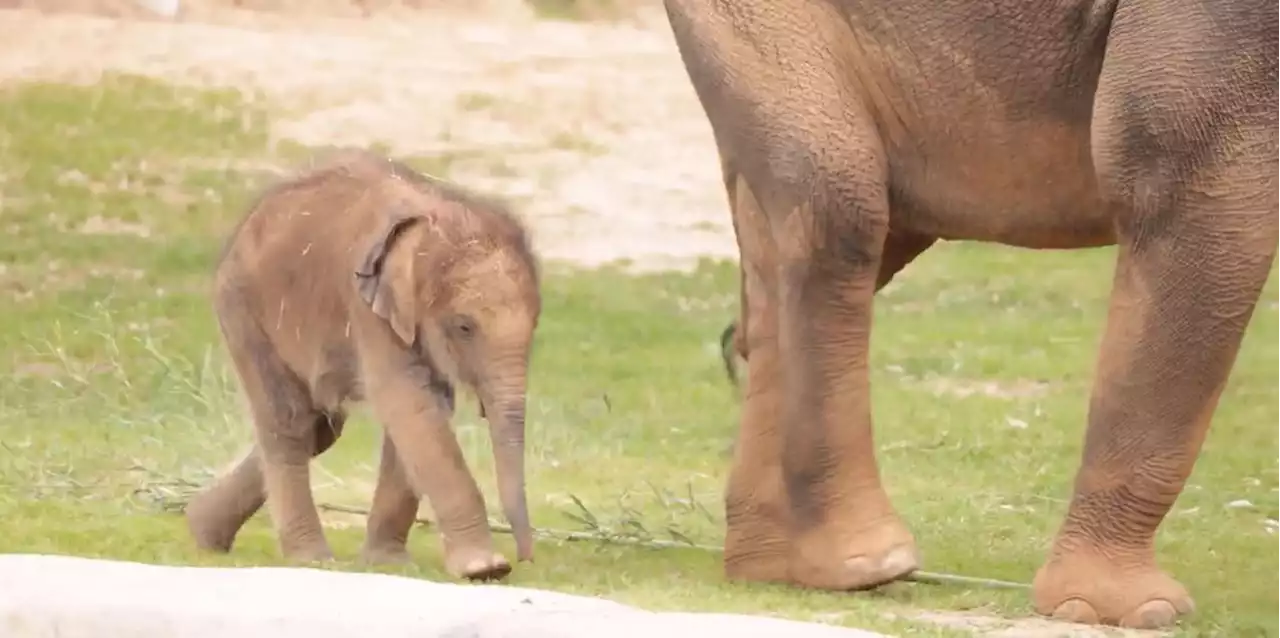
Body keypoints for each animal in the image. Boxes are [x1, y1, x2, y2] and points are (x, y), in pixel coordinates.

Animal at [183, 147, 537, 579]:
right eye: (464, 327)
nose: (525, 559)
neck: (436, 216)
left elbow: (419, 410)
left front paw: (387, 563)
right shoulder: (367, 309)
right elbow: (410, 404)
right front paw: (484, 569)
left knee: (320, 428)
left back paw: (202, 531)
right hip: (244, 309)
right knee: (289, 423)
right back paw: (311, 558)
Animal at [665, 0, 1274, 627]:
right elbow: (1184, 177)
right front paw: (1131, 612)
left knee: (791, 255)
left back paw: (777, 568)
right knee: (838, 208)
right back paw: (866, 566)